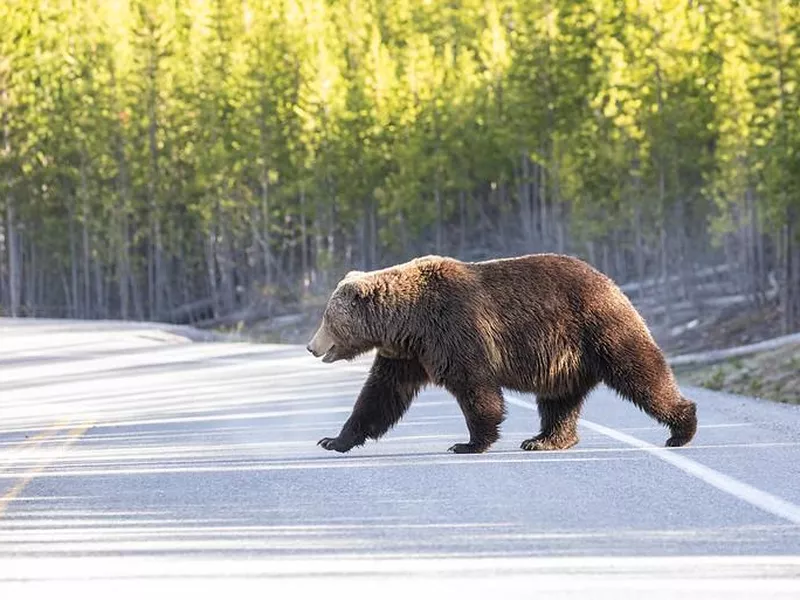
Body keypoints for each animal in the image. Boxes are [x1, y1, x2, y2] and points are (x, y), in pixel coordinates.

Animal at [304, 253, 692, 454]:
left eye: (326, 317)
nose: (311, 346)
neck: (406, 321)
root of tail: (611, 282)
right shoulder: (406, 354)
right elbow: (380, 395)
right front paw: (333, 439)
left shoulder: (453, 329)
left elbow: (475, 387)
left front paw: (469, 443)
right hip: (564, 359)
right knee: (558, 400)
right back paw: (545, 440)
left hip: (598, 328)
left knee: (640, 373)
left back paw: (682, 427)